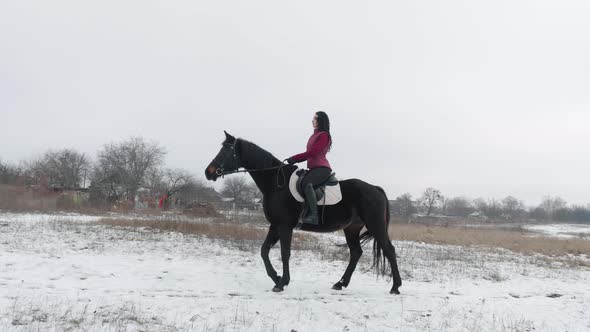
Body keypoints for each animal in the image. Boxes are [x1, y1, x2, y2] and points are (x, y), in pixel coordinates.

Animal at [204, 132, 402, 294]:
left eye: (226, 151)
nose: (208, 172)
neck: (276, 183)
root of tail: (375, 188)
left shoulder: (285, 226)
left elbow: (284, 253)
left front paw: (281, 282)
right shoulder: (275, 225)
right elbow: (264, 250)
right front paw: (276, 277)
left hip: (375, 224)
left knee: (389, 250)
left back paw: (395, 287)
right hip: (351, 228)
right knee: (356, 253)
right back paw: (340, 283)